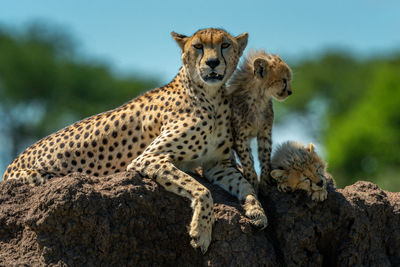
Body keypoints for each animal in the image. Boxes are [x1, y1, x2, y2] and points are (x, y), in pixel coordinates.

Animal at [3, 28, 268, 254]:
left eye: (225, 45)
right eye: (198, 46)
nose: (212, 63)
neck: (210, 96)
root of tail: (10, 166)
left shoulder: (218, 165)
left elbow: (245, 185)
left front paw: (257, 211)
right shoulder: (149, 158)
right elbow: (202, 190)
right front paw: (201, 233)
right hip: (41, 179)